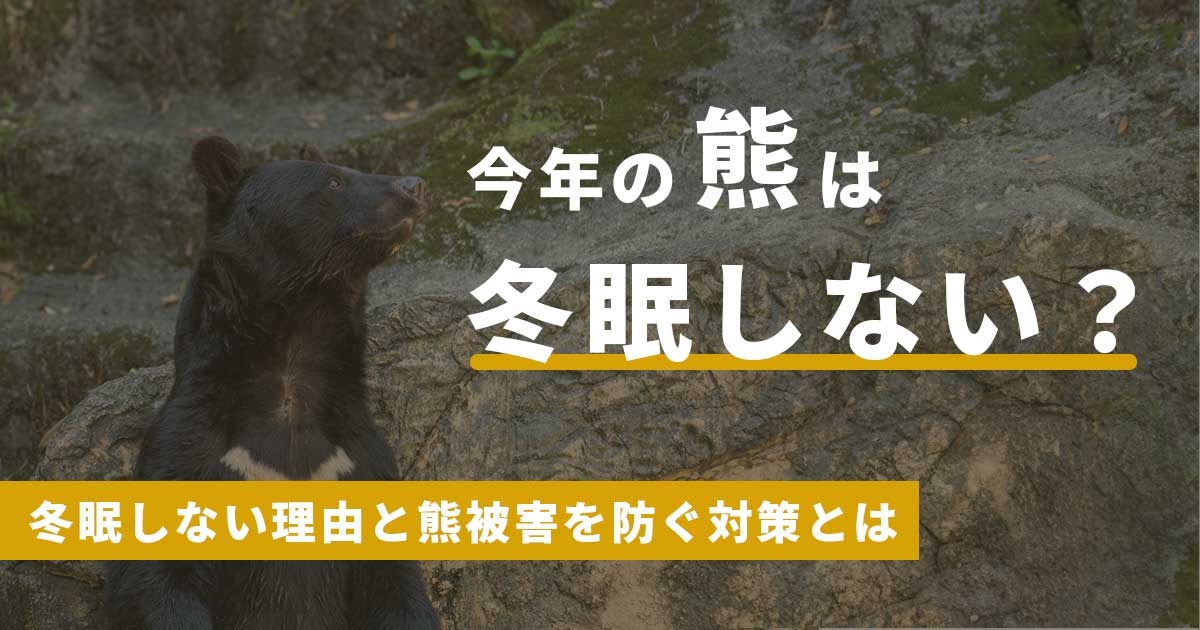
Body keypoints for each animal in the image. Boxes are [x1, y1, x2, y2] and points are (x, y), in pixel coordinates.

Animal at [105, 136, 440, 630]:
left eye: (348, 171)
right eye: (334, 180)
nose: (414, 186)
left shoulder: (359, 452)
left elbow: (395, 580)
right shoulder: (191, 444)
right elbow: (157, 577)